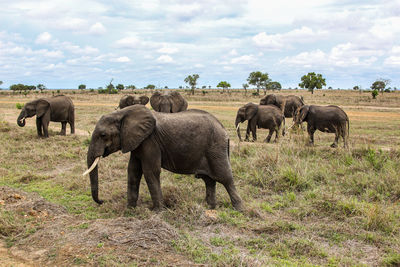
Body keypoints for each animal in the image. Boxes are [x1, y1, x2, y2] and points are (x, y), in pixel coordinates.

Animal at [83, 105, 242, 213]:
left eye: (103, 135)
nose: (102, 201)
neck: (122, 114)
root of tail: (224, 130)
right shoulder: (137, 142)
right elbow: (133, 171)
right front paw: (130, 210)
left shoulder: (150, 141)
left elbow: (150, 171)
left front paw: (157, 211)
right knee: (209, 180)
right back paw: (211, 208)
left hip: (216, 148)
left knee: (225, 178)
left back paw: (238, 209)